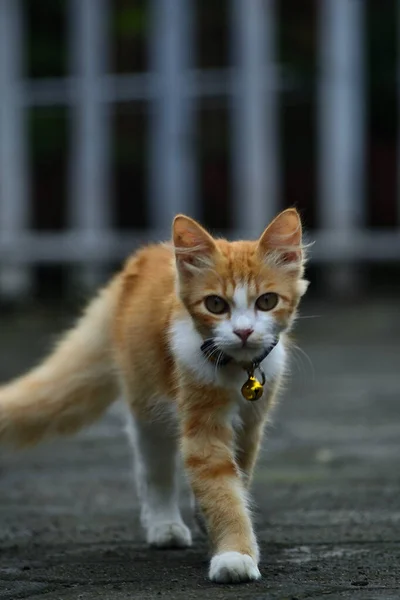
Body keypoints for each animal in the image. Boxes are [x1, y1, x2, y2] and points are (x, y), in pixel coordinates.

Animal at [0, 209, 310, 584]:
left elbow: (238, 476)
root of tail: (141, 258)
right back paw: (164, 525)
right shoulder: (200, 420)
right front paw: (233, 554)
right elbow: (220, 486)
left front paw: (212, 524)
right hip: (147, 403)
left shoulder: (252, 423)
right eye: (215, 305)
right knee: (153, 468)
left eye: (267, 301)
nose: (244, 331)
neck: (237, 369)